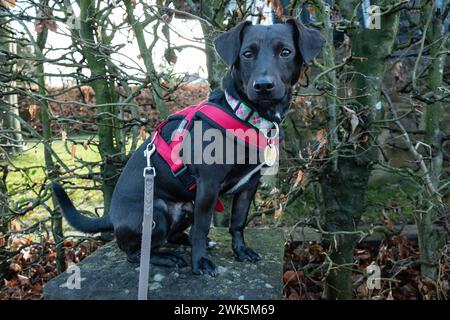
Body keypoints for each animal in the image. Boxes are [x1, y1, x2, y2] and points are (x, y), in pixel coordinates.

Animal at [53, 19, 324, 276]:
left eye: (286, 52)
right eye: (247, 53)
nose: (264, 86)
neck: (244, 114)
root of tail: (112, 215)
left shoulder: (250, 184)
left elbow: (237, 222)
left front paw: (241, 250)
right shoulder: (208, 185)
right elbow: (202, 228)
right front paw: (200, 262)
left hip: (186, 208)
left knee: (171, 236)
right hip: (156, 214)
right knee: (134, 252)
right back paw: (166, 257)